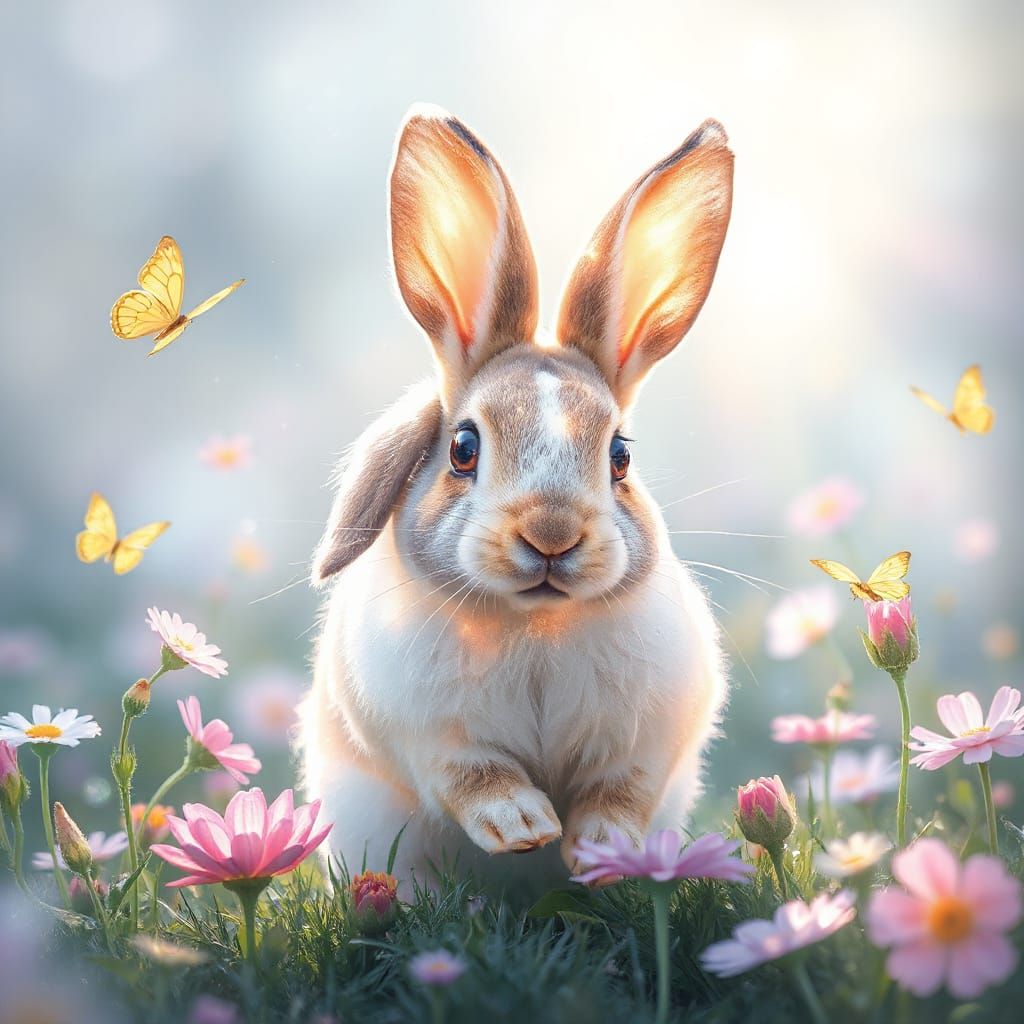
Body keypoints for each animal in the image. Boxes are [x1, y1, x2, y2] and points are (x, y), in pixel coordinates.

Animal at [298, 104, 734, 891]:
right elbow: (476, 777)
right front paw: (524, 829)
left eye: (620, 456)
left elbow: (619, 792)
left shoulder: (647, 742)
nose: (552, 536)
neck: (535, 625)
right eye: (463, 448)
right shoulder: (431, 735)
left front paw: (599, 850)